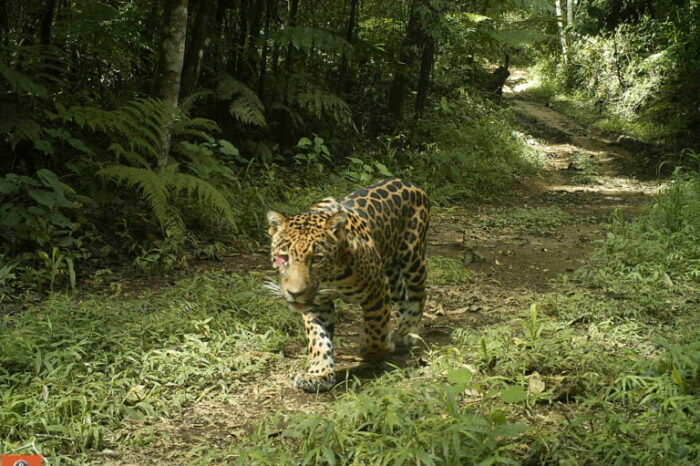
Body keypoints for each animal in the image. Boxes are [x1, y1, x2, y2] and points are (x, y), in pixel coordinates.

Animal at [266, 178, 430, 392]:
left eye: (317, 259)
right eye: (283, 257)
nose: (295, 293)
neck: (331, 277)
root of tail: (408, 182)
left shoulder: (377, 288)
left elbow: (376, 330)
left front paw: (376, 352)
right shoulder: (318, 303)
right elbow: (318, 339)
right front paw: (319, 374)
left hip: (412, 258)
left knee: (418, 296)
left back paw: (405, 333)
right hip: (392, 272)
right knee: (403, 297)